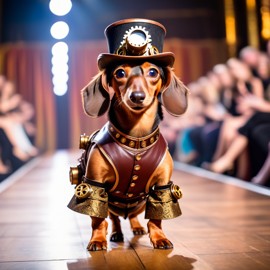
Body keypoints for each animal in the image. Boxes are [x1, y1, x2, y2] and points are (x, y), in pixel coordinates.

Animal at [68, 18, 189, 251]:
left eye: (153, 72)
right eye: (120, 73)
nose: (137, 96)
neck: (135, 141)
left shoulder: (162, 186)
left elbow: (156, 218)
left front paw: (159, 238)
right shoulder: (94, 184)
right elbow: (98, 219)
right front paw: (97, 240)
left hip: (139, 204)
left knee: (133, 216)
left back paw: (137, 227)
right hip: (110, 203)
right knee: (114, 218)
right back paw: (116, 233)